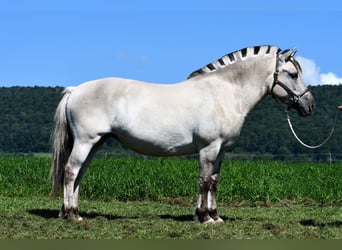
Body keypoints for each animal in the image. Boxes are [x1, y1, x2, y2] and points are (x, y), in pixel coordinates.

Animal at [50, 46, 316, 224]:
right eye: (293, 74)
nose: (310, 105)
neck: (225, 93)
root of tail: (75, 90)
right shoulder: (209, 147)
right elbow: (204, 180)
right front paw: (205, 218)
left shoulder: (221, 150)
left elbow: (214, 181)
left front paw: (214, 216)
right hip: (86, 141)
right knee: (71, 171)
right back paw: (71, 215)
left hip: (96, 142)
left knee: (79, 174)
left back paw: (72, 211)